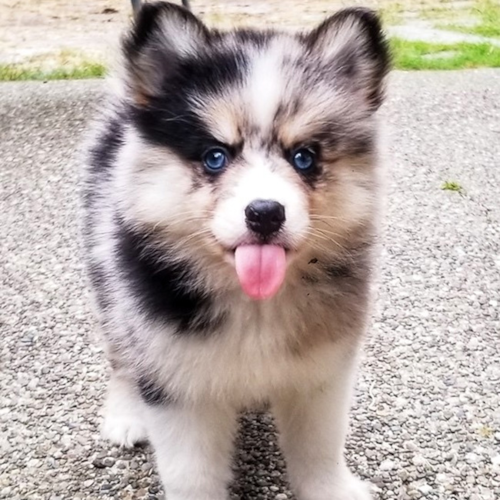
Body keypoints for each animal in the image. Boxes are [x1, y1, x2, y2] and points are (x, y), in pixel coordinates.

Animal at [82, 1, 390, 498]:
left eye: (304, 157)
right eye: (215, 156)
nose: (265, 213)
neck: (256, 307)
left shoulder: (322, 372)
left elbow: (320, 447)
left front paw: (331, 489)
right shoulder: (177, 383)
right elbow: (191, 472)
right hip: (109, 284)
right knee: (121, 356)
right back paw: (125, 414)